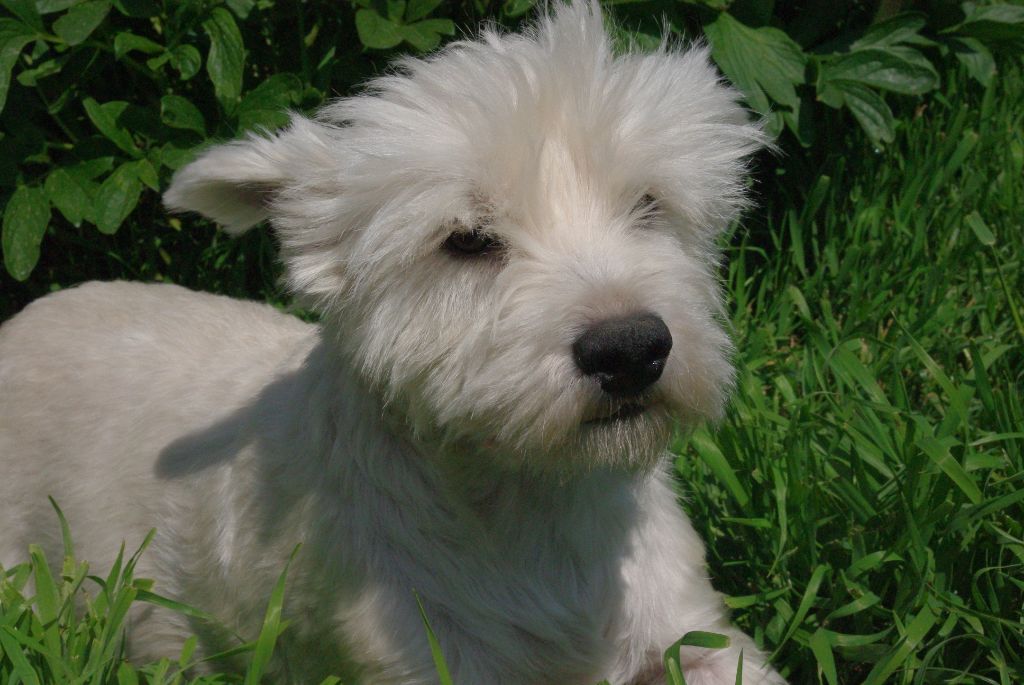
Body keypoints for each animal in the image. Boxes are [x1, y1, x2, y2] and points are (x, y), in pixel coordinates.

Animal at [0, 2, 782, 679]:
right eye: (464, 240)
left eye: (648, 204)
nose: (630, 350)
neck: (536, 504)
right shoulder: (420, 651)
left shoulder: (691, 630)